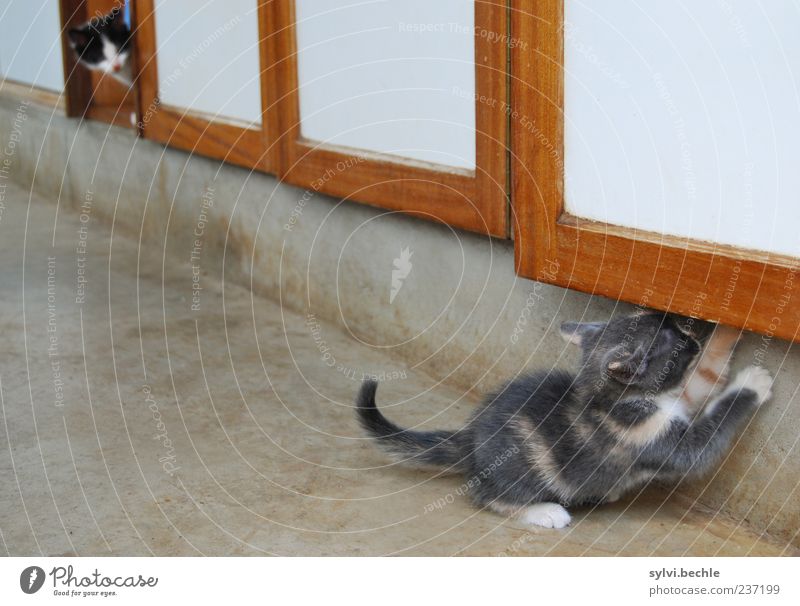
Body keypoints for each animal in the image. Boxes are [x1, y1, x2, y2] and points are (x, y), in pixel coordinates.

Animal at [356, 316, 768, 528]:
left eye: (679, 329)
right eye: (675, 342)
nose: (692, 333)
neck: (617, 398)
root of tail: (471, 436)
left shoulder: (683, 396)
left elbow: (709, 373)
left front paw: (730, 328)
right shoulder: (653, 436)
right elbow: (706, 437)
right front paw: (754, 382)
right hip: (517, 467)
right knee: (487, 496)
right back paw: (543, 511)